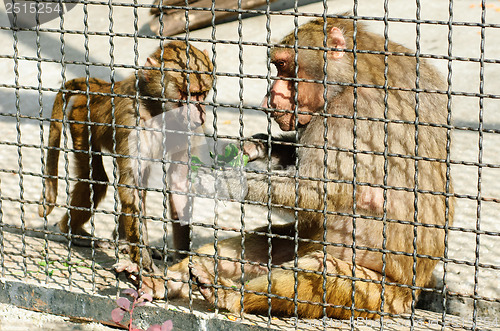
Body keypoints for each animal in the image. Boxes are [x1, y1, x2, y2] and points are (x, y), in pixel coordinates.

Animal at [37, 40, 213, 280]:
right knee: (98, 181)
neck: (156, 108)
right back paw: (73, 232)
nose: (200, 115)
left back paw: (120, 241)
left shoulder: (188, 131)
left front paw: (183, 259)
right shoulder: (132, 119)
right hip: (80, 120)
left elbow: (178, 183)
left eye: (202, 94)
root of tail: (101, 91)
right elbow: (129, 184)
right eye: (186, 94)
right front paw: (144, 260)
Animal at [117, 16, 454, 320]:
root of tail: (411, 295)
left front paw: (226, 183)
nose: (269, 100)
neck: (348, 77)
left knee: (318, 273)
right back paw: (162, 282)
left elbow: (316, 191)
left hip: (378, 293)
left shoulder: (349, 117)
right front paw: (256, 147)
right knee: (255, 246)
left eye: (283, 66)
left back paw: (232, 297)